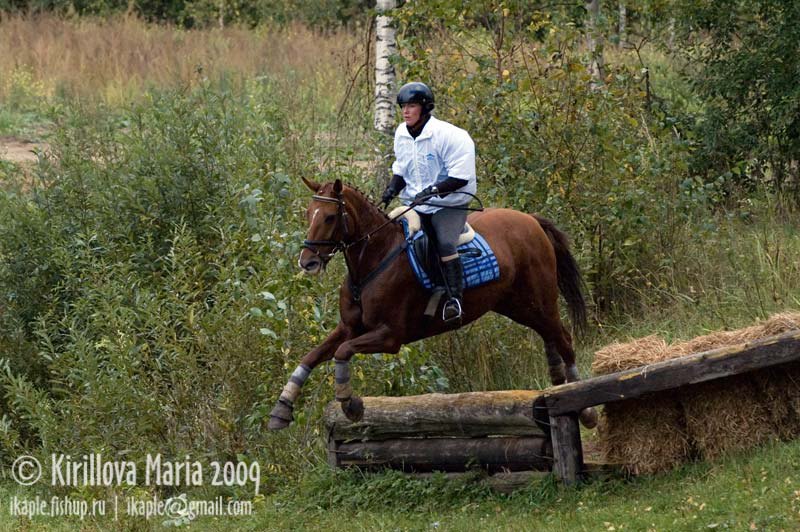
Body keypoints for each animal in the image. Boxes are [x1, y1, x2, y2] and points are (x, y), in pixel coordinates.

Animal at [266, 179, 596, 432]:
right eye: (308, 213)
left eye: (330, 217)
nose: (307, 262)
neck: (372, 262)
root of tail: (532, 221)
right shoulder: (348, 327)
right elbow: (311, 356)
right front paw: (282, 408)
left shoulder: (389, 337)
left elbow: (342, 352)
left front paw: (351, 404)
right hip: (518, 305)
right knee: (549, 336)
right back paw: (557, 384)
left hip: (537, 301)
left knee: (563, 338)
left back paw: (583, 407)